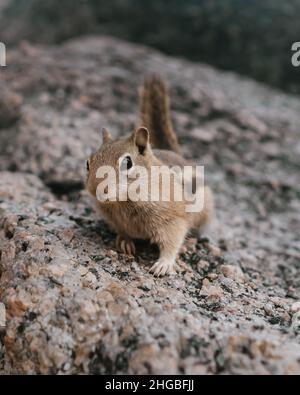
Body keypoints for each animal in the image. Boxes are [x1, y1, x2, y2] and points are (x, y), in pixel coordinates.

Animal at [86, 76, 213, 276]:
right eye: (88, 163)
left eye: (128, 163)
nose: (94, 190)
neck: (123, 202)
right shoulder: (117, 221)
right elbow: (124, 232)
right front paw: (125, 241)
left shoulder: (174, 220)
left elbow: (172, 242)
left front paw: (164, 264)